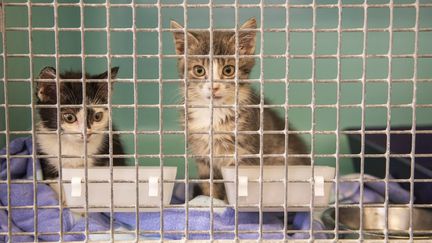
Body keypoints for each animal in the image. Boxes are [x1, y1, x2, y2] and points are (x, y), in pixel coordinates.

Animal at [170, 17, 308, 199]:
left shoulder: (245, 153)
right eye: (199, 70)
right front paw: (209, 201)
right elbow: (209, 184)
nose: (214, 87)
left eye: (228, 70)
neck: (214, 114)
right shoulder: (203, 156)